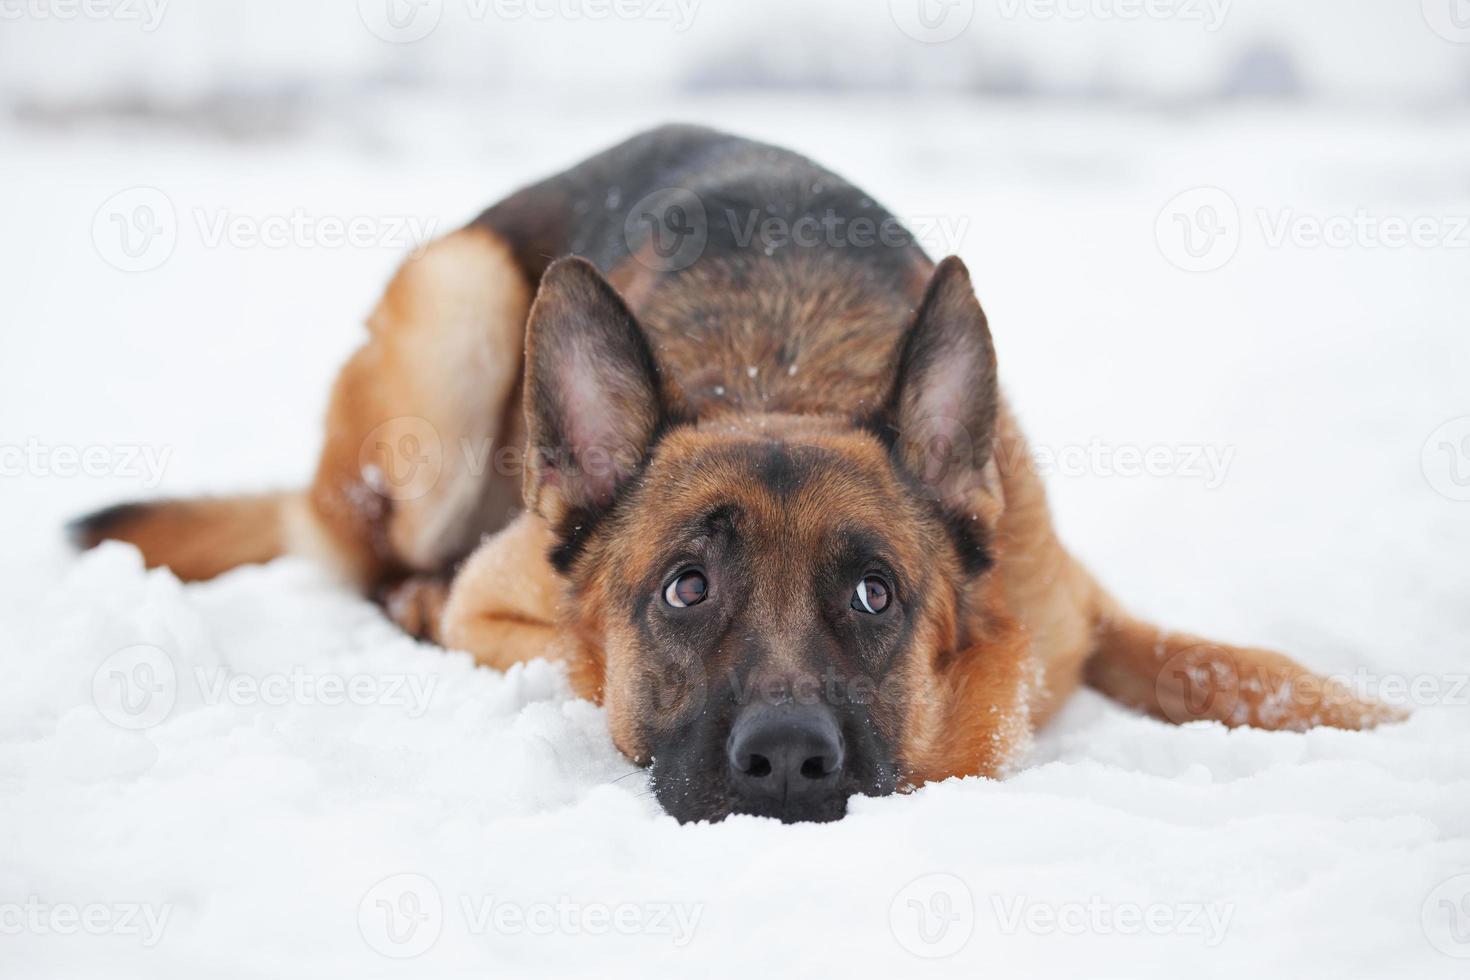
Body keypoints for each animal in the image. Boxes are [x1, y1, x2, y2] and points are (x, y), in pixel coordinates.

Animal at [69, 126, 1399, 822]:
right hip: (457, 311)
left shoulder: (1085, 610)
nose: (790, 762)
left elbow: (1239, 665)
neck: (783, 374)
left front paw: (1387, 724)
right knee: (373, 565)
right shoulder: (503, 606)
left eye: (874, 592)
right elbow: (555, 651)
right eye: (685, 587)